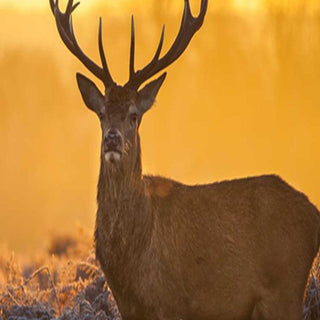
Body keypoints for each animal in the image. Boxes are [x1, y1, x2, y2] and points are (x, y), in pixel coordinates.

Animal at [49, 0, 320, 318]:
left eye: (134, 115)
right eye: (101, 114)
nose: (112, 139)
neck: (130, 259)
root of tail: (313, 213)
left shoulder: (172, 301)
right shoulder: (128, 305)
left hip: (285, 288)